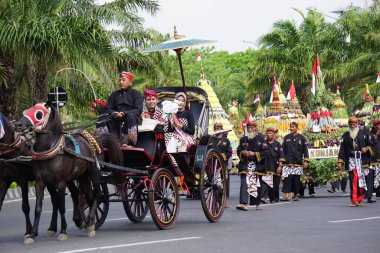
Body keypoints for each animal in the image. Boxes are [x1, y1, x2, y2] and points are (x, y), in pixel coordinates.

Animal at [15, 102, 103, 243]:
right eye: (26, 110)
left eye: (38, 114)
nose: (18, 125)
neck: (51, 150)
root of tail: (89, 137)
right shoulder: (40, 182)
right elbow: (38, 208)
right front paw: (32, 234)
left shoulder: (61, 183)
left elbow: (62, 207)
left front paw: (63, 231)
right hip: (81, 176)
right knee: (85, 195)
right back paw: (89, 223)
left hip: (94, 172)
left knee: (96, 195)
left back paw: (89, 222)